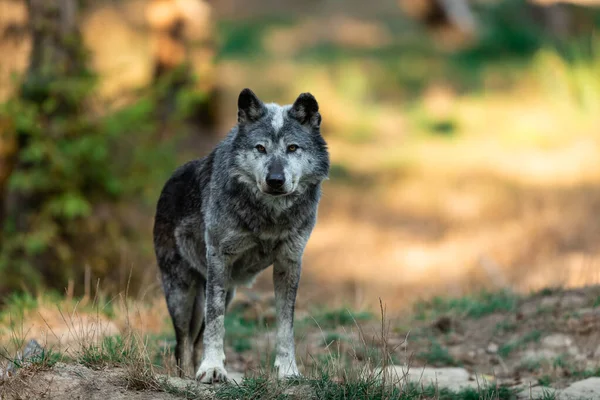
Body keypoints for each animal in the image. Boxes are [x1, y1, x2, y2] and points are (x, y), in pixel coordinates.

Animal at [150, 89, 328, 382]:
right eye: (260, 148)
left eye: (292, 148)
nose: (275, 180)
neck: (269, 217)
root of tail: (167, 182)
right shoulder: (219, 259)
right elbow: (216, 323)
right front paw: (212, 368)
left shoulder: (289, 263)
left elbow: (285, 326)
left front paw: (288, 370)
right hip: (182, 293)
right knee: (183, 343)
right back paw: (188, 375)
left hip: (227, 292)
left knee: (194, 342)